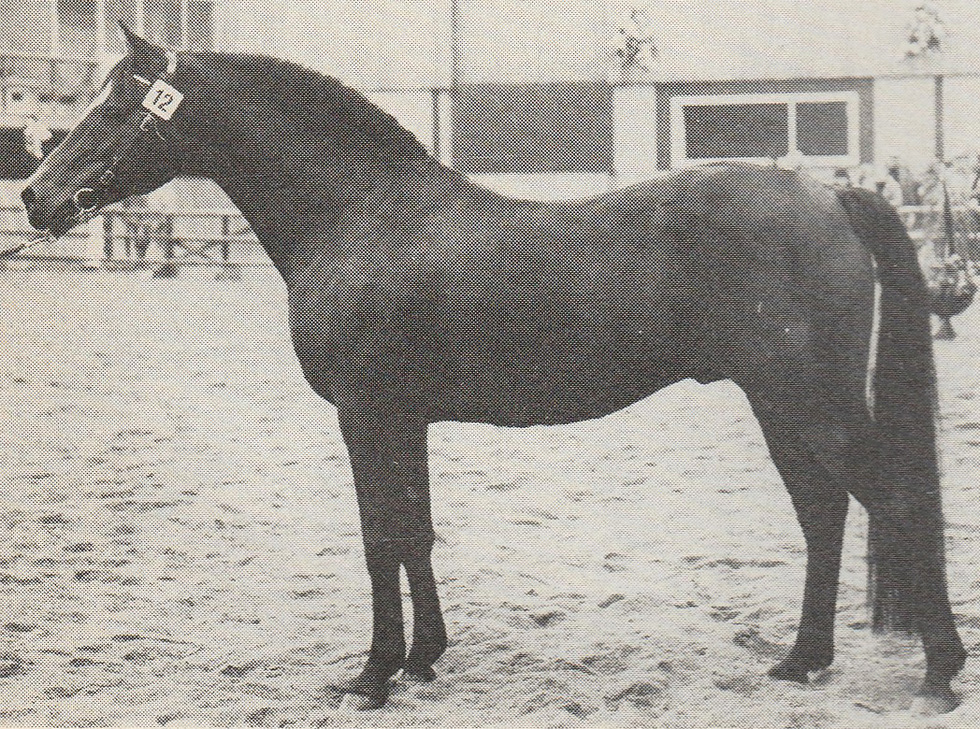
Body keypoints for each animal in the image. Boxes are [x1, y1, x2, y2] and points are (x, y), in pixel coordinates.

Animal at [21, 28, 967, 713]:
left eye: (116, 107)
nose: (35, 196)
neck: (358, 213)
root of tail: (828, 193)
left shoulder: (365, 413)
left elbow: (379, 536)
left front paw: (371, 676)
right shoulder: (403, 417)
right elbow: (416, 531)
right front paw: (425, 659)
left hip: (808, 401)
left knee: (892, 500)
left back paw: (939, 668)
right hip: (784, 404)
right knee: (824, 512)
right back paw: (803, 660)